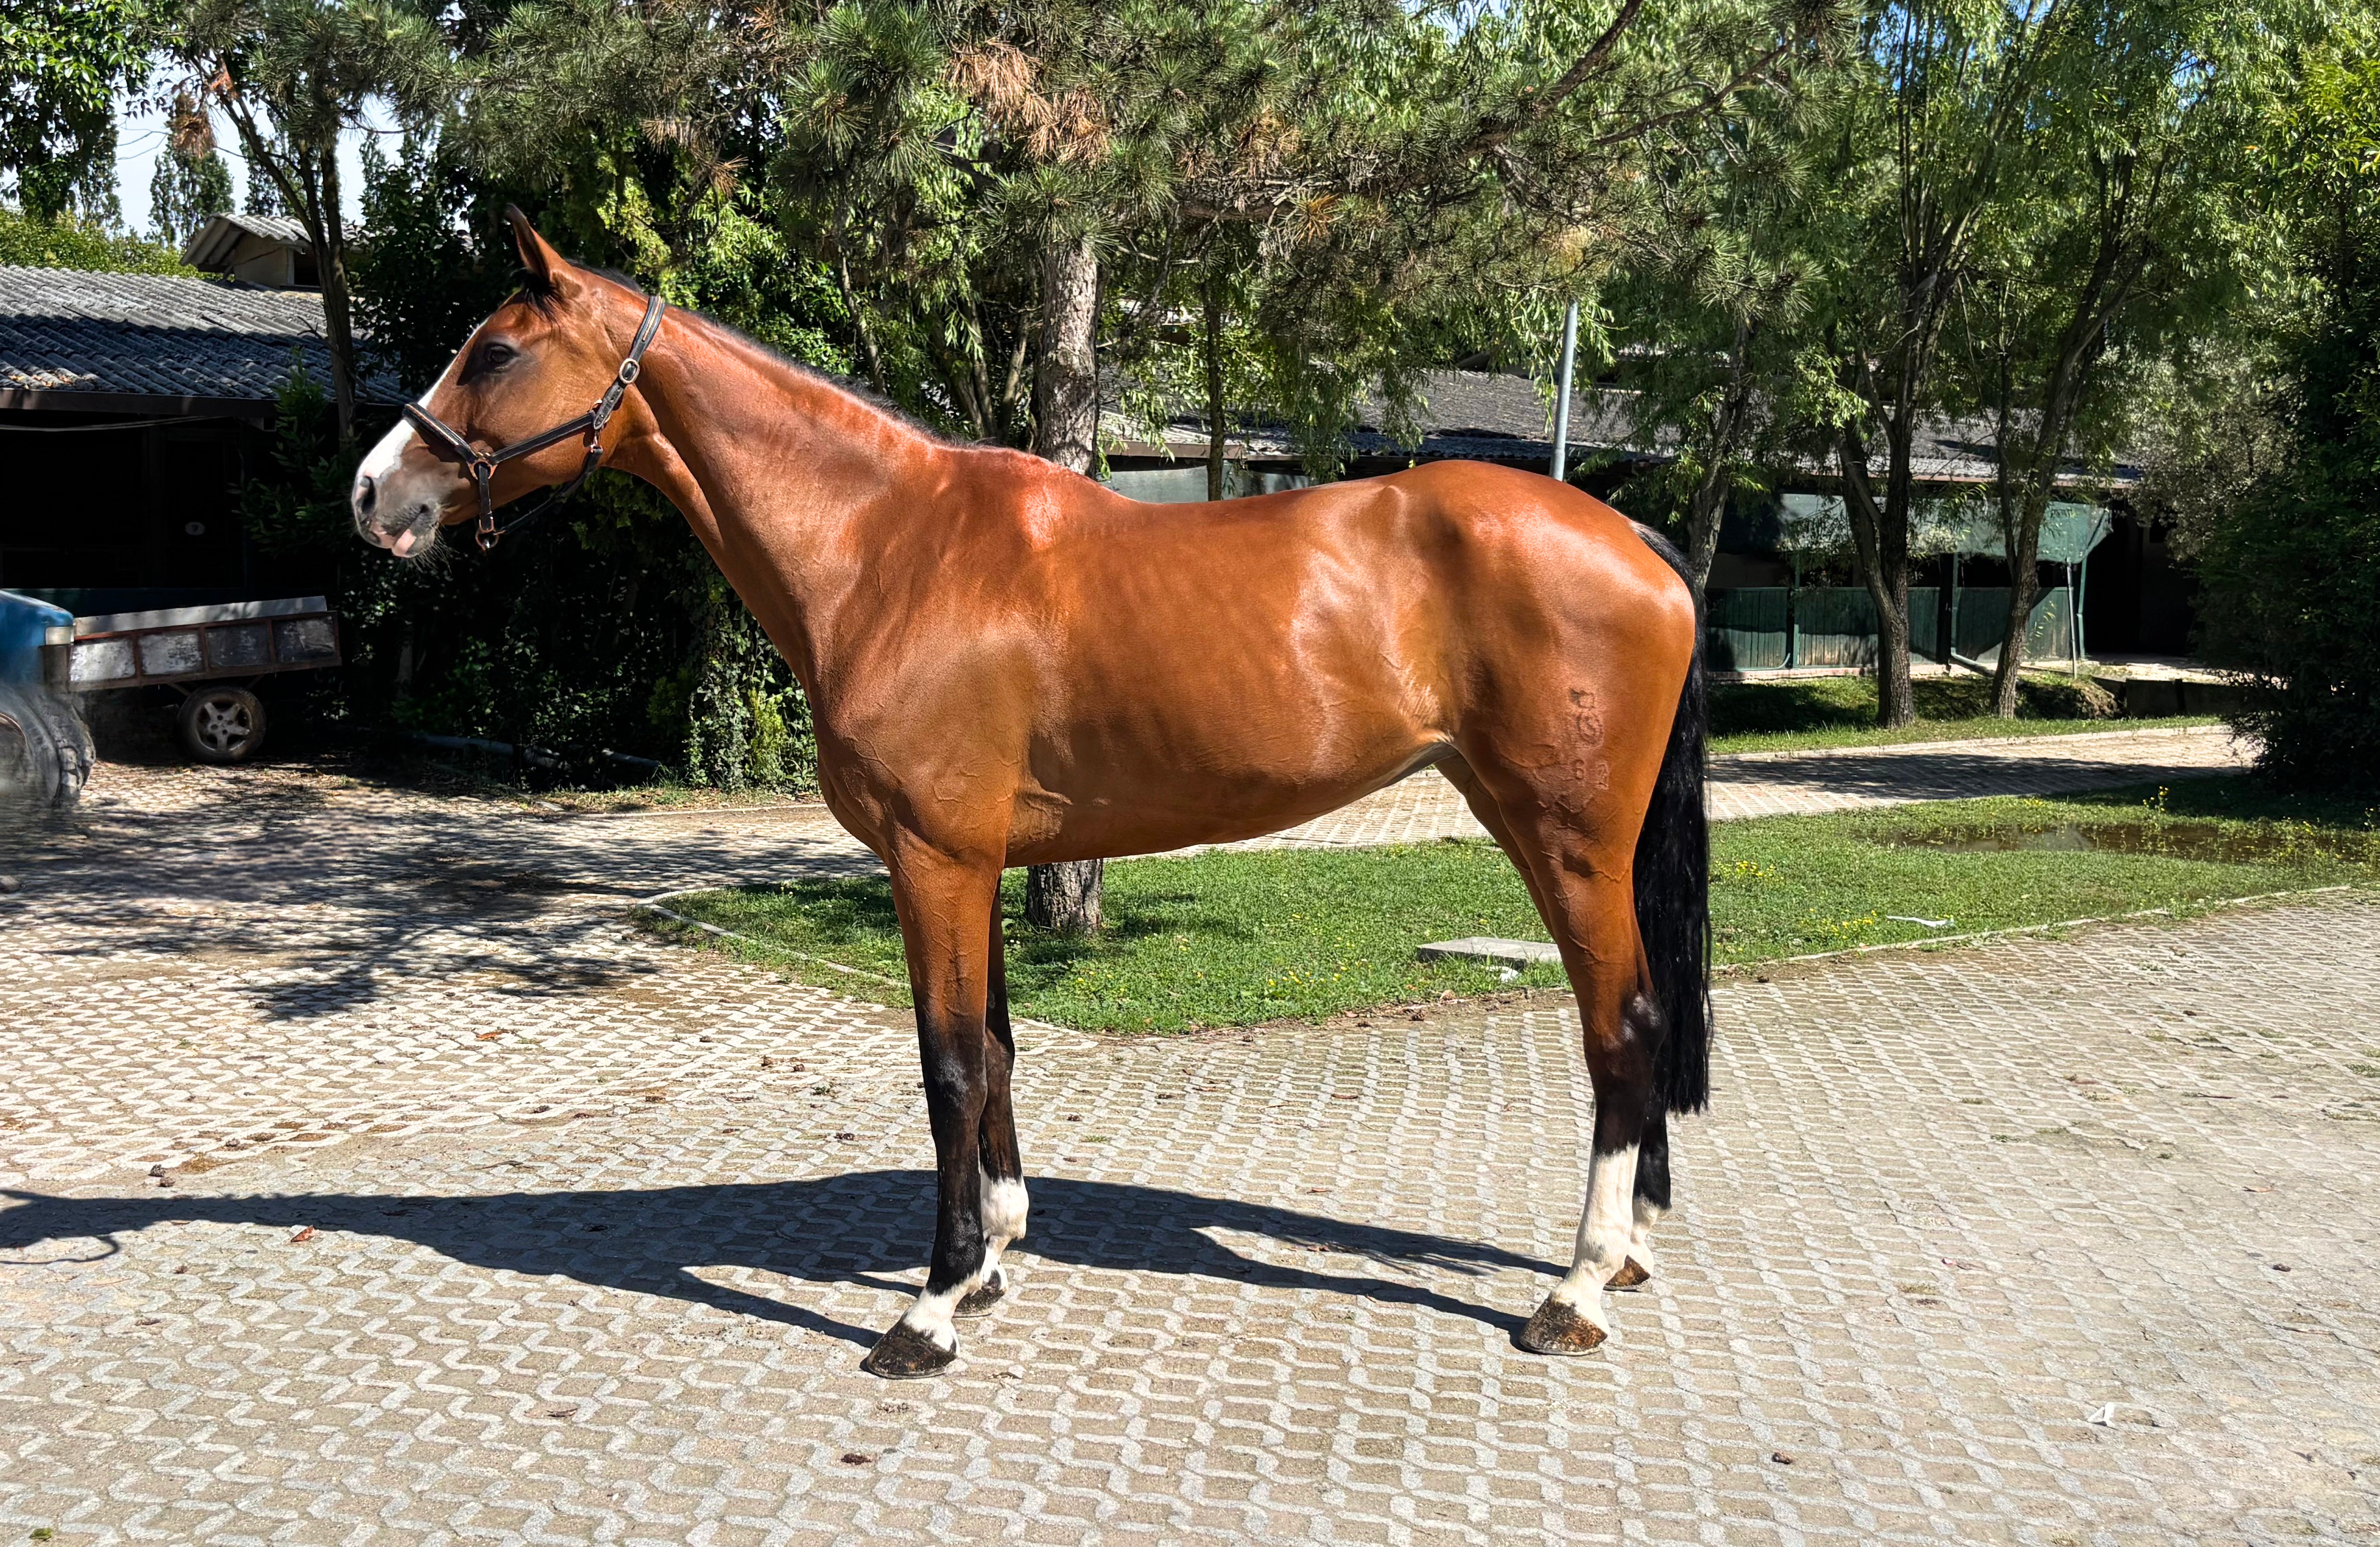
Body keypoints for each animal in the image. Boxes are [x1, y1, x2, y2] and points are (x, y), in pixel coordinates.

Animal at [351, 210, 1712, 1379]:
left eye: (495, 350)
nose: (373, 495)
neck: (887, 549)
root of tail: (1635, 542)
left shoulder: (932, 860)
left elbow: (949, 1065)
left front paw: (931, 1305)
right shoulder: (977, 862)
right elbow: (998, 1049)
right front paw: (997, 1253)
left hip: (1564, 842)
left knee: (1622, 1027)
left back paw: (1575, 1290)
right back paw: (1627, 1256)